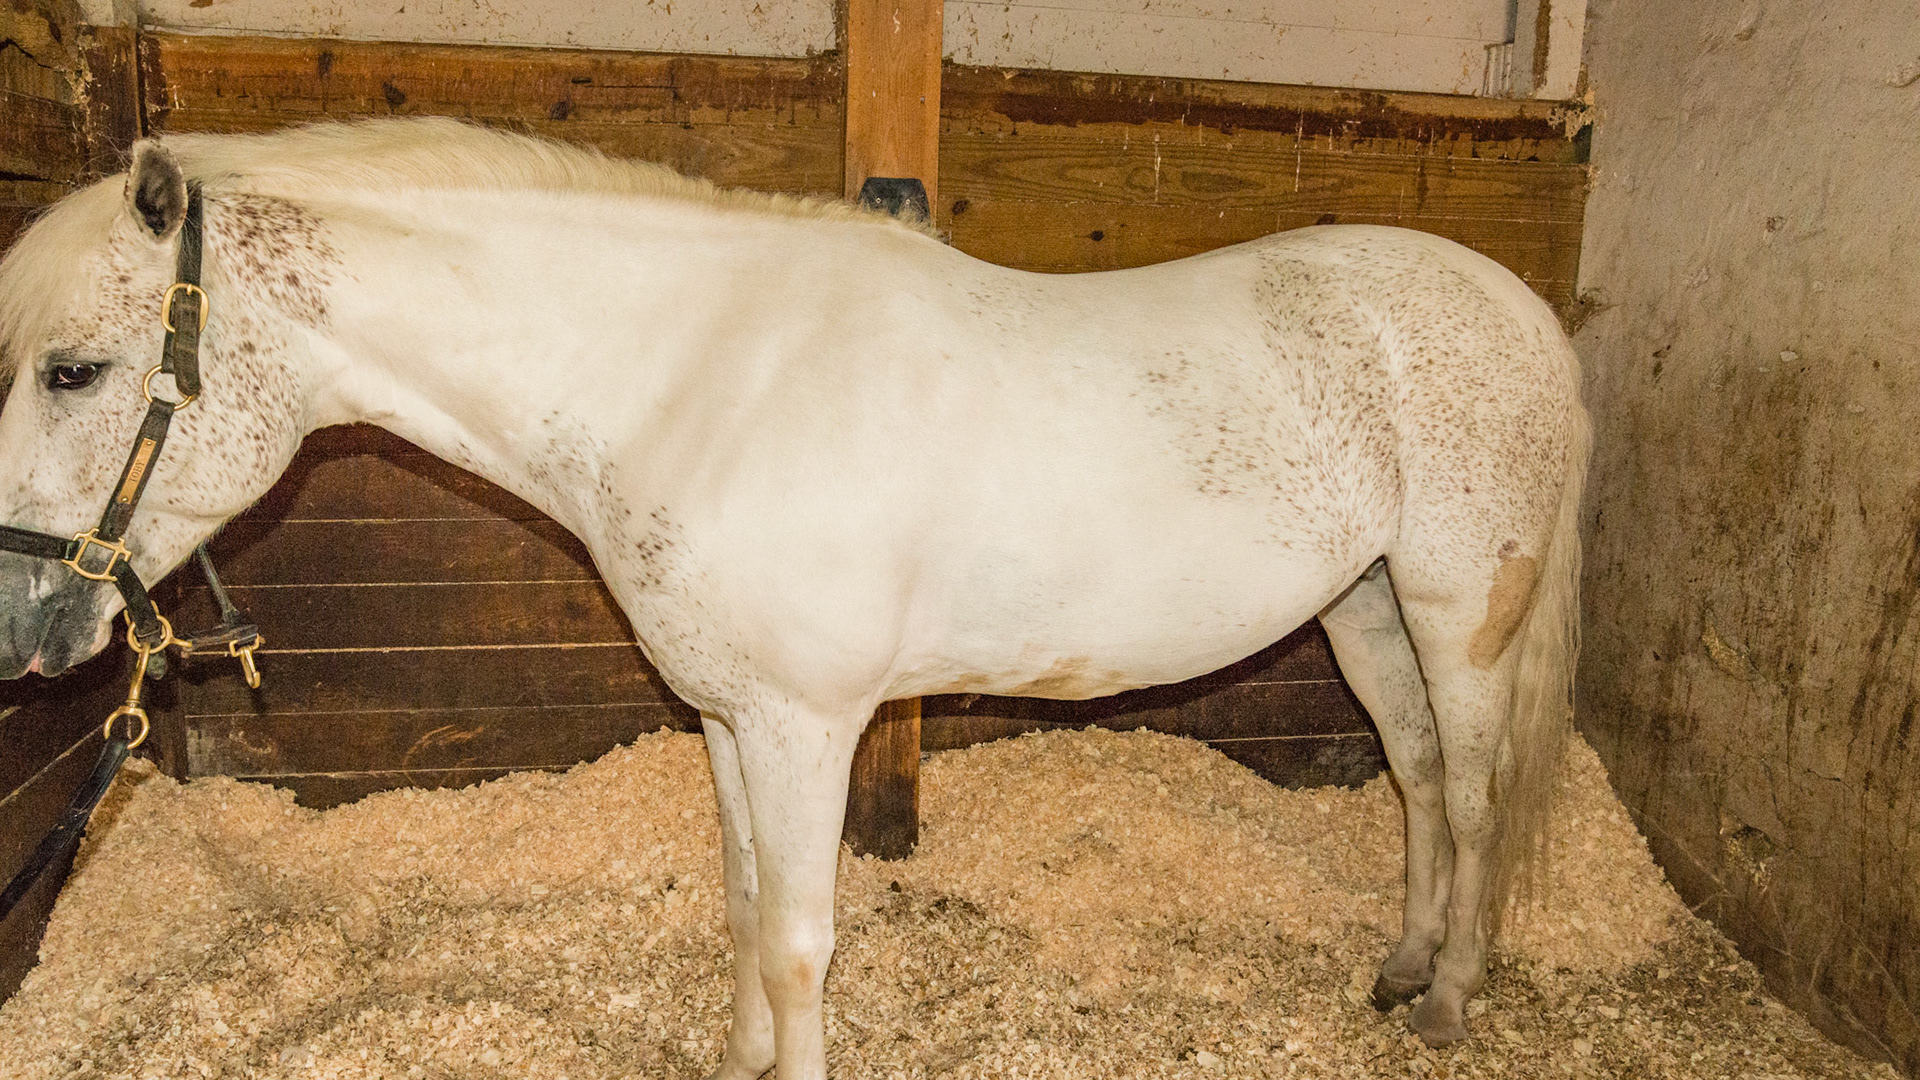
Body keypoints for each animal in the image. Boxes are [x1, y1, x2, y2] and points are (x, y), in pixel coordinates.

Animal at [0, 118, 1588, 1078]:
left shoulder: (809, 727)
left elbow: (802, 937)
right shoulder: (728, 720)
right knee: (1420, 773)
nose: (24, 626)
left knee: (1473, 789)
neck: (706, 374)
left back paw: (1452, 997)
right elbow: (749, 908)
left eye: (73, 369)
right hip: (1366, 608)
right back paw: (1400, 965)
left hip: (1459, 608)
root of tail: (1524, 315)